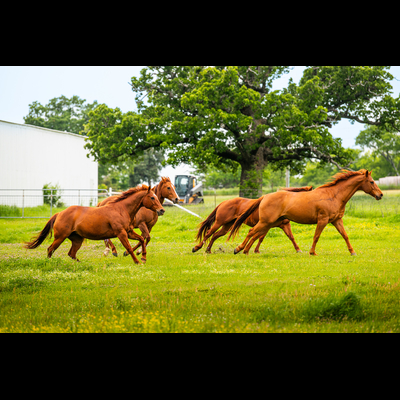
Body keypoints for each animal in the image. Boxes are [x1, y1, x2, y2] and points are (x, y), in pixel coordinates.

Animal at [24, 185, 165, 266]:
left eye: (156, 196)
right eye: (152, 197)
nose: (162, 210)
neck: (121, 209)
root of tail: (59, 213)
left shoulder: (129, 232)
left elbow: (141, 239)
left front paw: (143, 258)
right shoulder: (121, 233)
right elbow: (129, 248)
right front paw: (137, 262)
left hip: (77, 239)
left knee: (71, 253)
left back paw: (82, 265)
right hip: (60, 237)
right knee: (50, 249)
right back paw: (49, 263)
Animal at [228, 170, 382, 256]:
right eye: (372, 182)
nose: (380, 195)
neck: (333, 195)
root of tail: (265, 196)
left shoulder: (336, 220)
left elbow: (345, 236)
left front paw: (352, 252)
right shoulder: (323, 220)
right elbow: (316, 236)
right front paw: (312, 252)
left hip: (270, 223)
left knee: (255, 235)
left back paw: (245, 251)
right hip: (266, 222)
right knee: (251, 232)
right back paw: (238, 249)